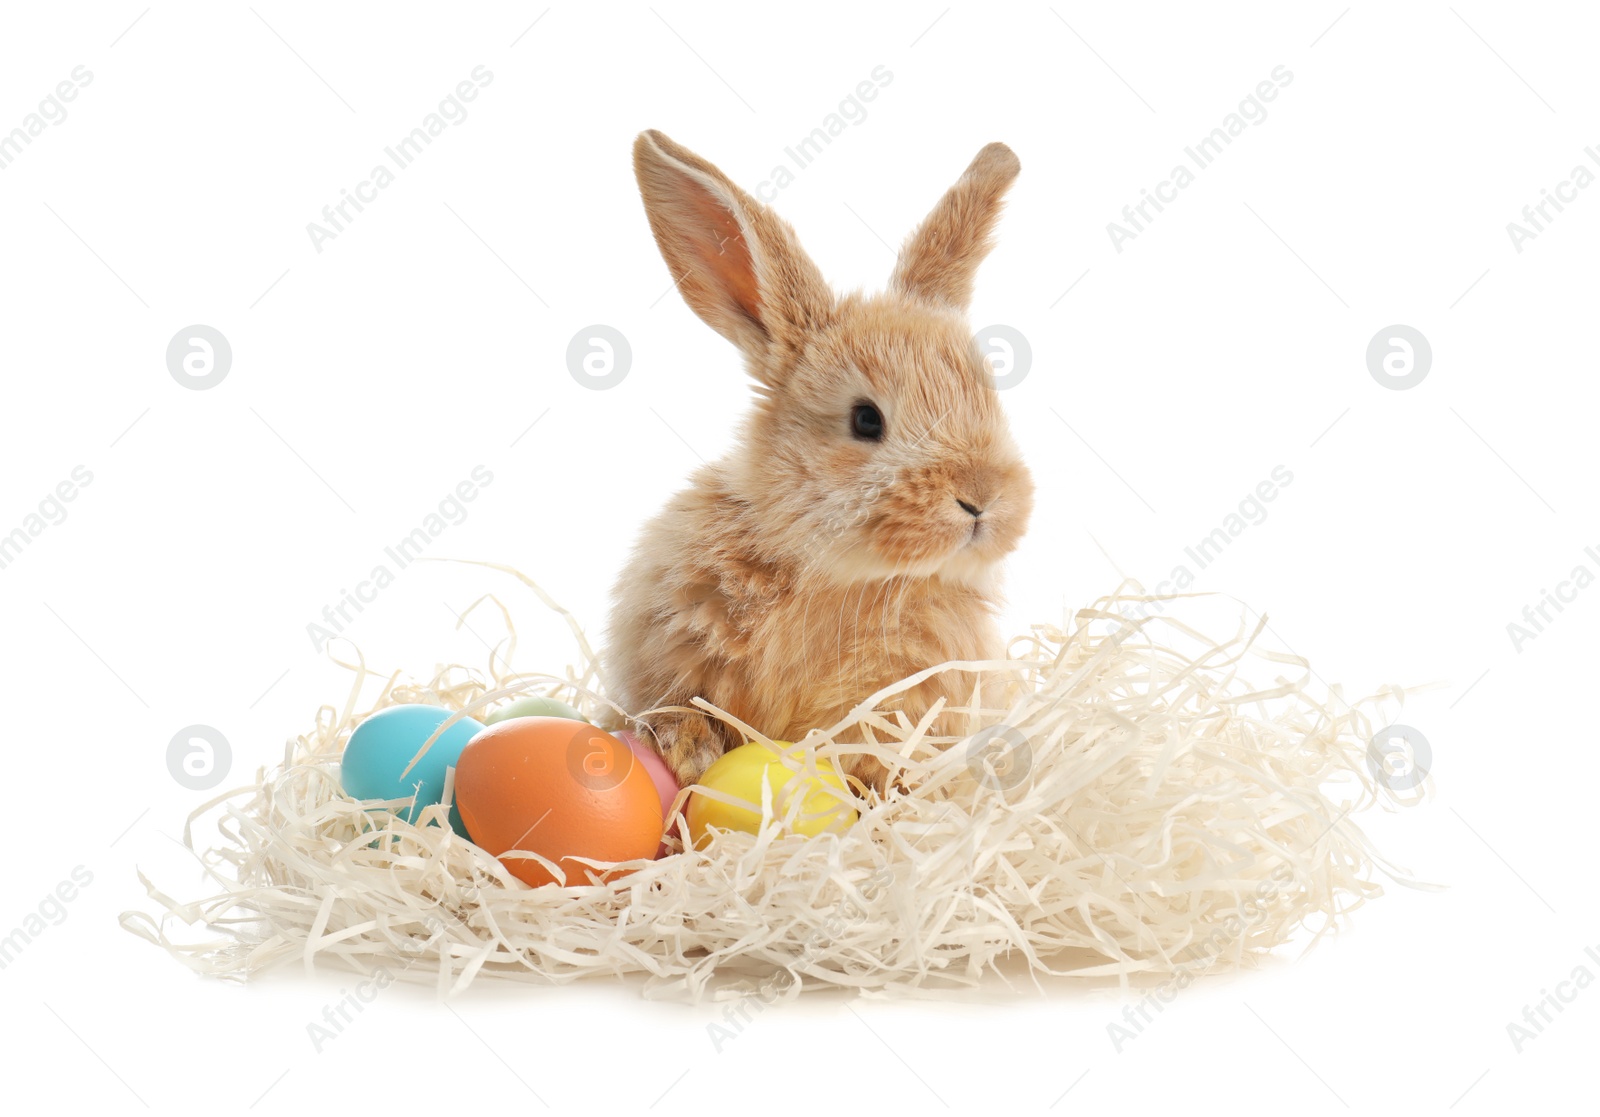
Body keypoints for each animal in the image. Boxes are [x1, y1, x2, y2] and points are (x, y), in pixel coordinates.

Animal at [601, 128, 1036, 790]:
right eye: (866, 419)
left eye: (990, 400)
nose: (983, 499)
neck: (837, 574)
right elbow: (676, 708)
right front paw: (689, 751)